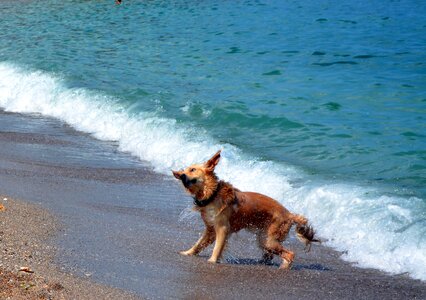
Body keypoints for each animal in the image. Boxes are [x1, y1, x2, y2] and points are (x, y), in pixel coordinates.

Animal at [171, 151, 318, 268]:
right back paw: (264, 262)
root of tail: (290, 214)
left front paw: (212, 261)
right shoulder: (210, 229)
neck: (212, 194)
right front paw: (187, 252)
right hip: (264, 239)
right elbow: (198, 244)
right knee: (273, 254)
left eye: (192, 170)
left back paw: (283, 267)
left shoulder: (222, 228)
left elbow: (217, 248)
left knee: (290, 254)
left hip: (270, 239)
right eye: (184, 171)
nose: (181, 176)